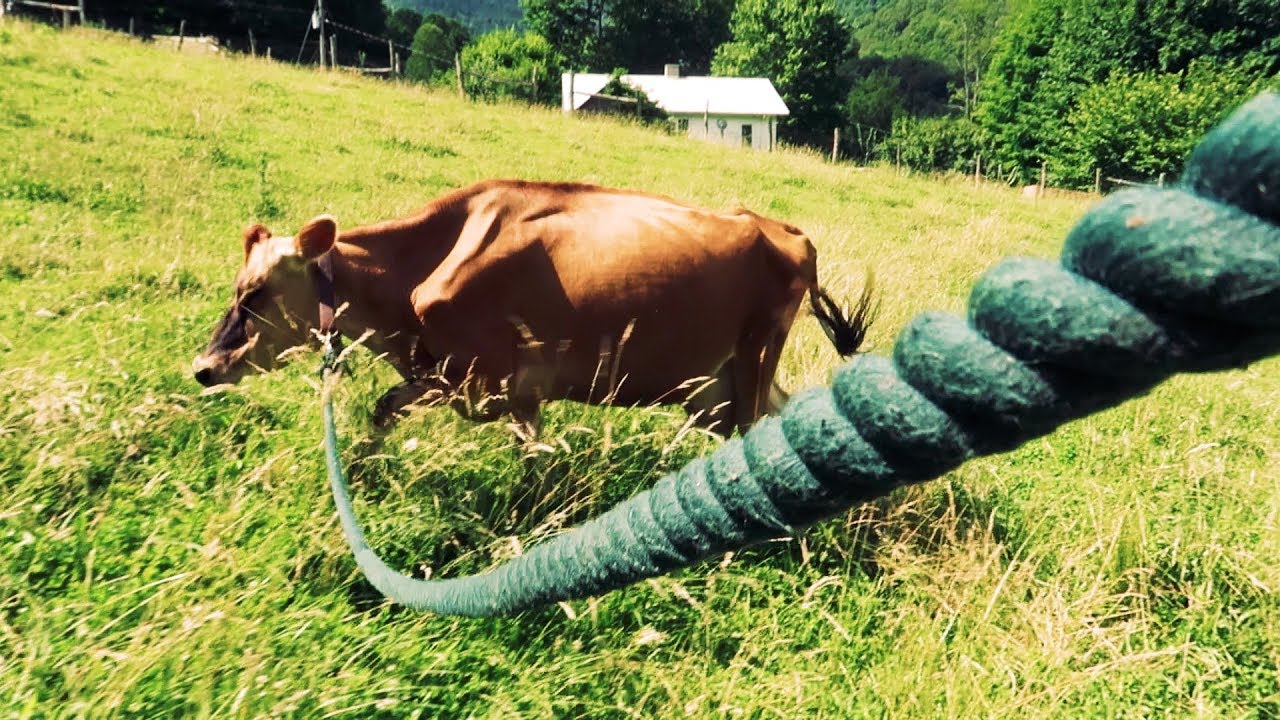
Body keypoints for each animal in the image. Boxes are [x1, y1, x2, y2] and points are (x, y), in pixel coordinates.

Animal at [192, 179, 875, 437]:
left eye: (255, 294)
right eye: (236, 287)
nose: (203, 367)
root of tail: (784, 230)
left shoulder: (481, 378)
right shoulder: (504, 391)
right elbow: (385, 411)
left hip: (753, 362)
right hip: (720, 383)